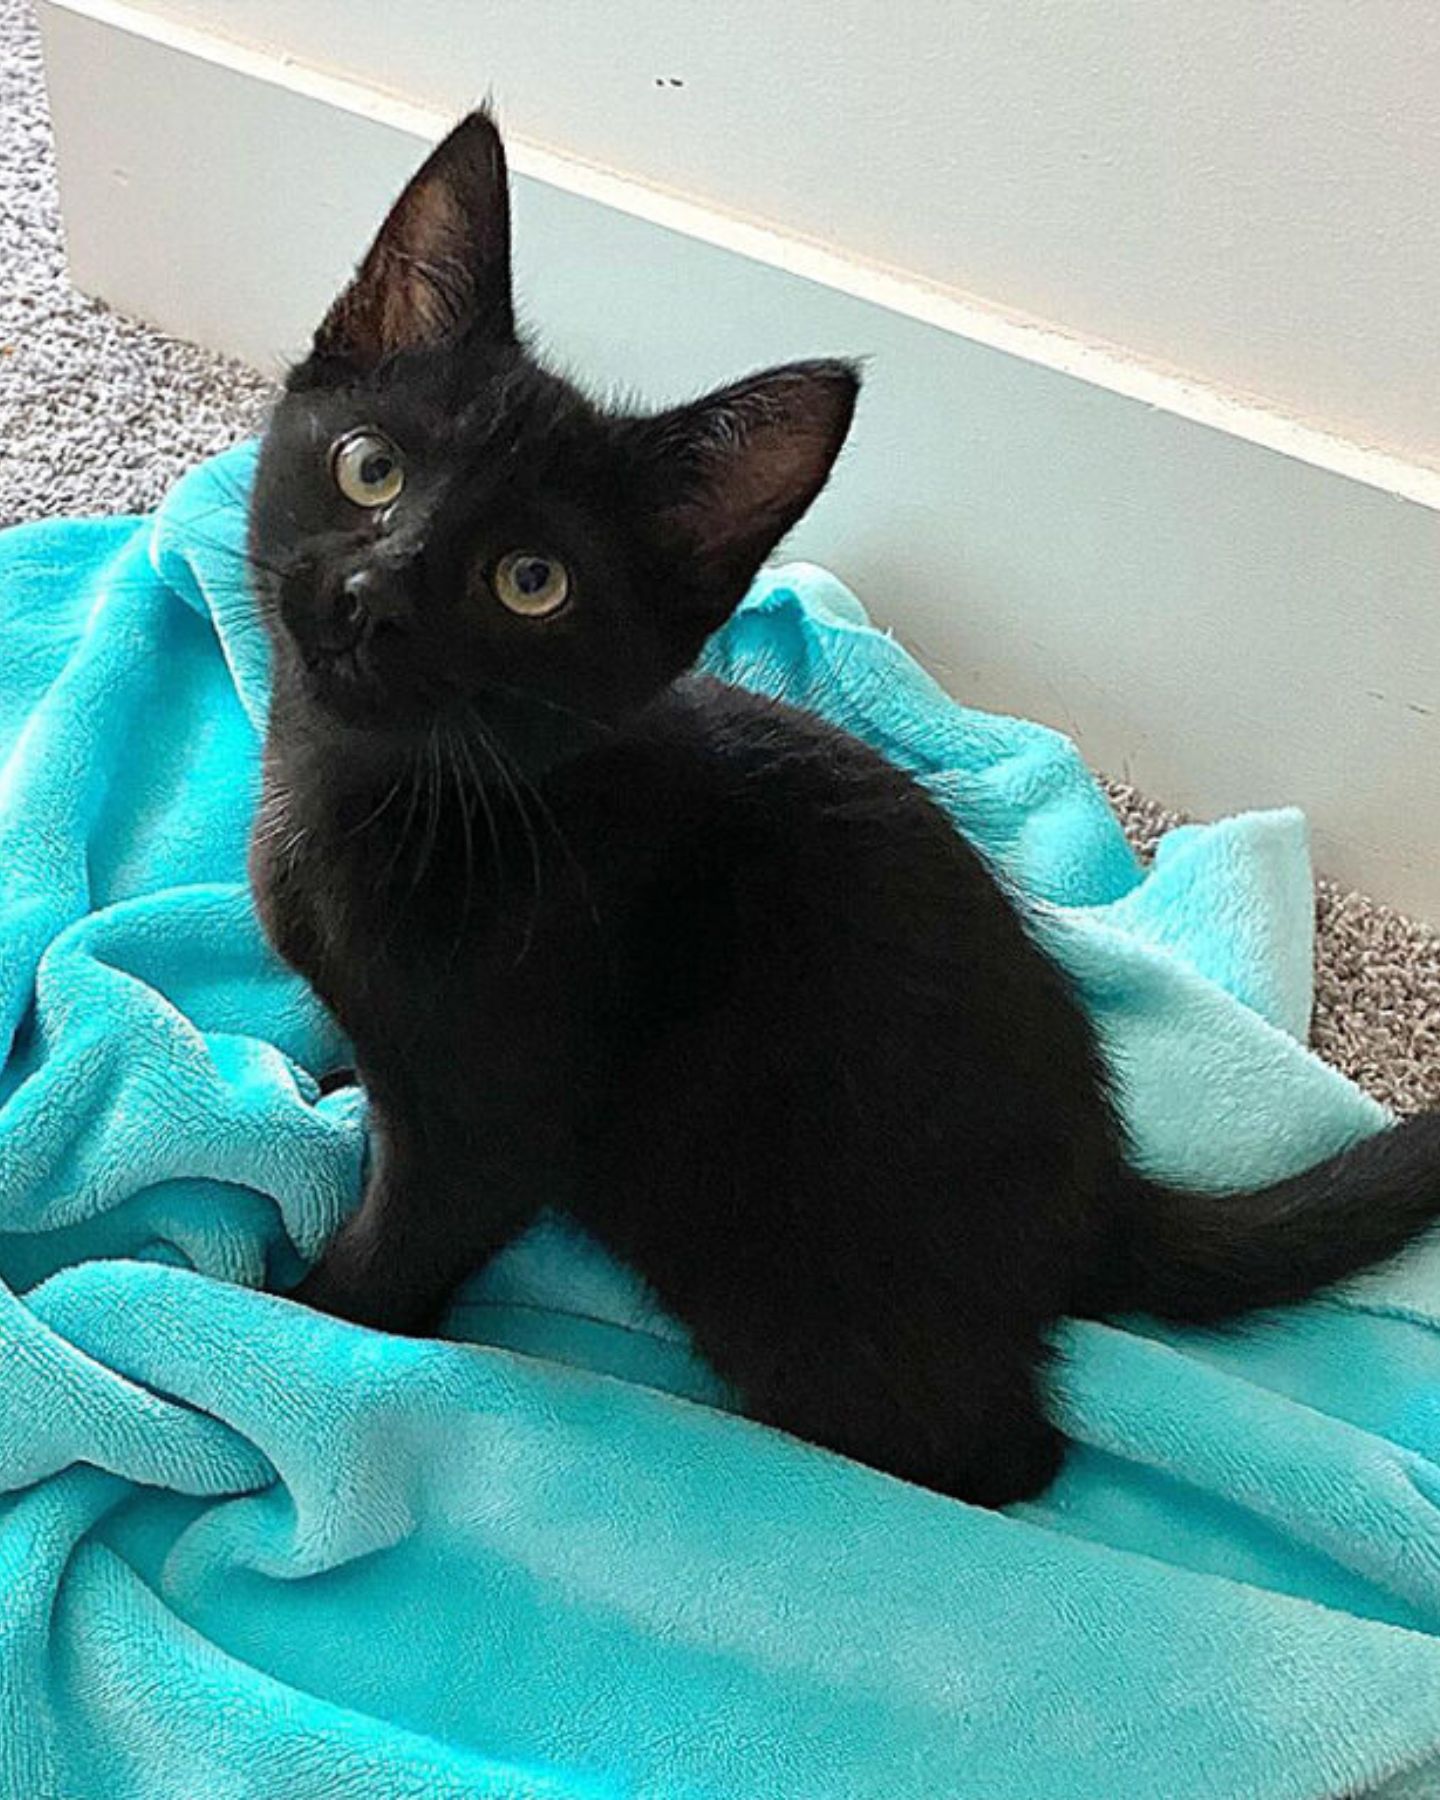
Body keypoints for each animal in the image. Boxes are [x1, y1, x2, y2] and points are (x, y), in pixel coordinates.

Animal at [253, 112, 1440, 1512]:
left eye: (529, 582)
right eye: (370, 469)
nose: (374, 594)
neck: (382, 794)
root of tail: (1096, 1192)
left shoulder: (493, 1116)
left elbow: (398, 1247)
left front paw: (293, 1310)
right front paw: (335, 1076)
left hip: (785, 1260)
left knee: (1000, 1458)